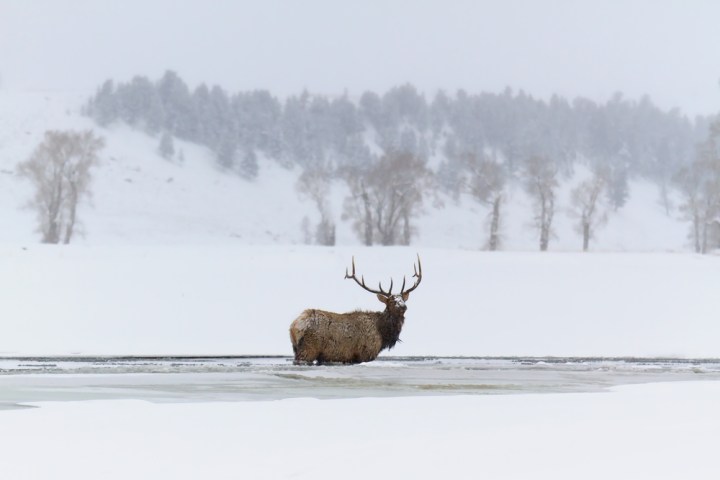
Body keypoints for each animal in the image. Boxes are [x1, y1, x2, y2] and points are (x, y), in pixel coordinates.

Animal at [289, 256, 422, 365]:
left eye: (402, 299)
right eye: (391, 301)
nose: (404, 306)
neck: (382, 333)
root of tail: (294, 326)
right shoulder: (367, 353)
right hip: (309, 348)